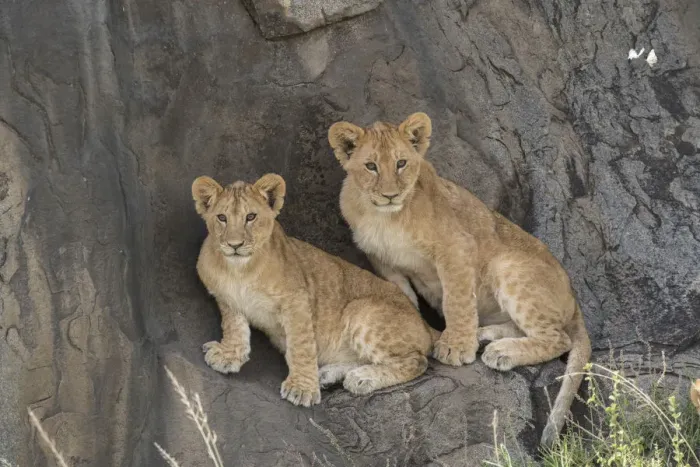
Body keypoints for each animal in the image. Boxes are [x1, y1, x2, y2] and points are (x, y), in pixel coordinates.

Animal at [192, 173, 437, 407]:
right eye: (221, 218)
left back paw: (362, 378)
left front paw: (302, 389)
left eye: (251, 217)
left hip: (360, 310)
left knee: (417, 361)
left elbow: (301, 344)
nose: (235, 245)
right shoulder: (227, 298)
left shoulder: (296, 299)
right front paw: (228, 355)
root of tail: (423, 322)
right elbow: (234, 327)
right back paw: (328, 373)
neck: (239, 270)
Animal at [328, 112, 592, 447]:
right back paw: (487, 335)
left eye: (401, 163)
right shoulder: (384, 263)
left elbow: (456, 299)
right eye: (371, 166)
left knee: (559, 339)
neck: (385, 218)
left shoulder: (455, 246)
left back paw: (502, 351)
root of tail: (574, 299)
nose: (390, 194)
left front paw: (455, 348)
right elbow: (405, 303)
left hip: (506, 264)